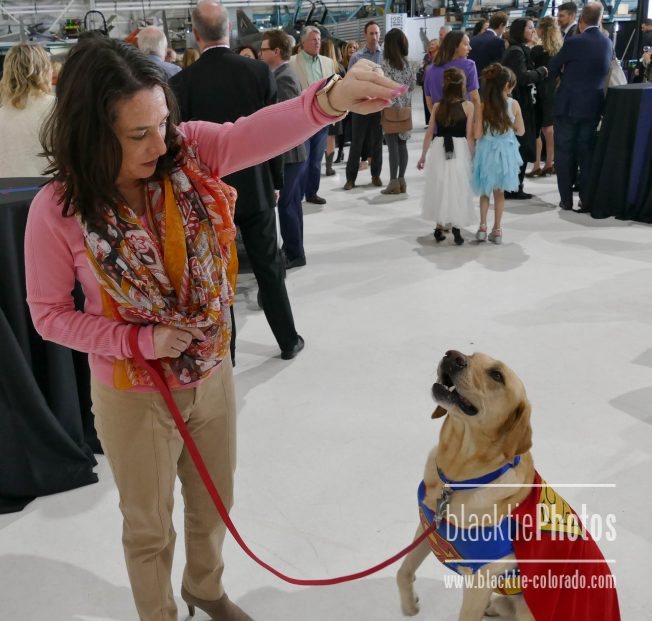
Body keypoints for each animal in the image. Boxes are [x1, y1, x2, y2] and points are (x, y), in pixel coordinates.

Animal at [394, 352, 536, 616]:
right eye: (472, 355)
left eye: (497, 375)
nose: (452, 356)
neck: (454, 480)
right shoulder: (428, 528)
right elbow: (403, 571)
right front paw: (409, 606)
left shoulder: (482, 579)